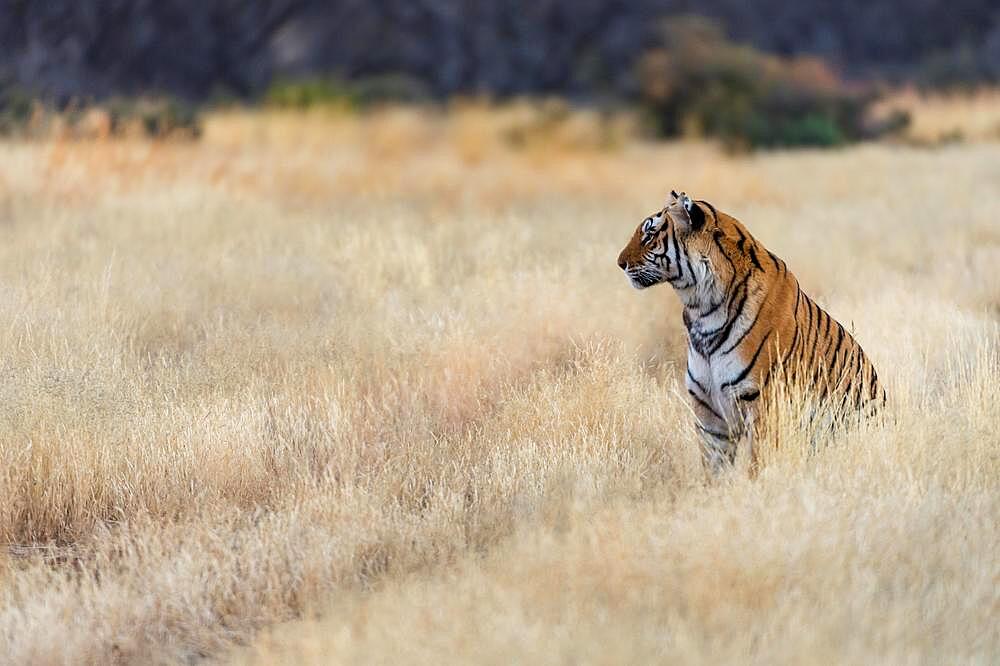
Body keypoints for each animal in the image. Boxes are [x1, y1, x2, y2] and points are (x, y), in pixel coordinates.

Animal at [612, 192, 888, 472]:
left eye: (650, 234)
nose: (620, 263)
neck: (701, 310)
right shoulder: (707, 408)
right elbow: (714, 467)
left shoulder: (762, 401)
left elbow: (759, 462)